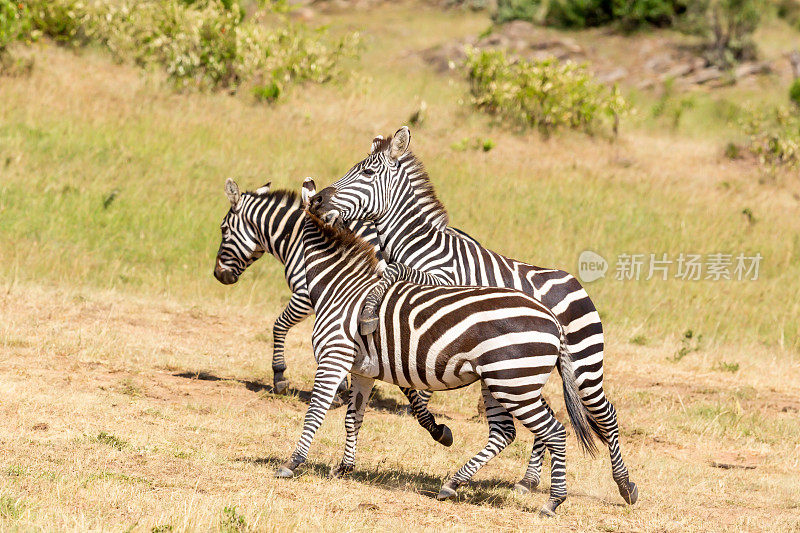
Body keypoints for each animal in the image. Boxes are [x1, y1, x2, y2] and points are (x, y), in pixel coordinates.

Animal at [211, 179, 450, 444]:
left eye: (223, 229)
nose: (218, 275)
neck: (299, 240)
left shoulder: (306, 295)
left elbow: (279, 325)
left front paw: (280, 377)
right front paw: (342, 386)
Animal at [272, 180, 596, 516]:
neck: (340, 287)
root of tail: (553, 319)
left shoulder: (333, 358)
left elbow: (315, 411)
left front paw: (292, 463)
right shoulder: (362, 370)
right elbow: (354, 418)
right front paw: (344, 468)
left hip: (514, 384)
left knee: (554, 431)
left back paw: (553, 501)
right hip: (503, 383)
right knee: (505, 432)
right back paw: (452, 484)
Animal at [306, 127, 636, 504]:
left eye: (367, 173)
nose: (317, 201)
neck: (419, 245)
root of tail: (577, 284)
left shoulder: (441, 284)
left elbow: (392, 273)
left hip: (584, 365)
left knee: (604, 413)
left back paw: (625, 485)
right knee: (546, 419)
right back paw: (528, 481)